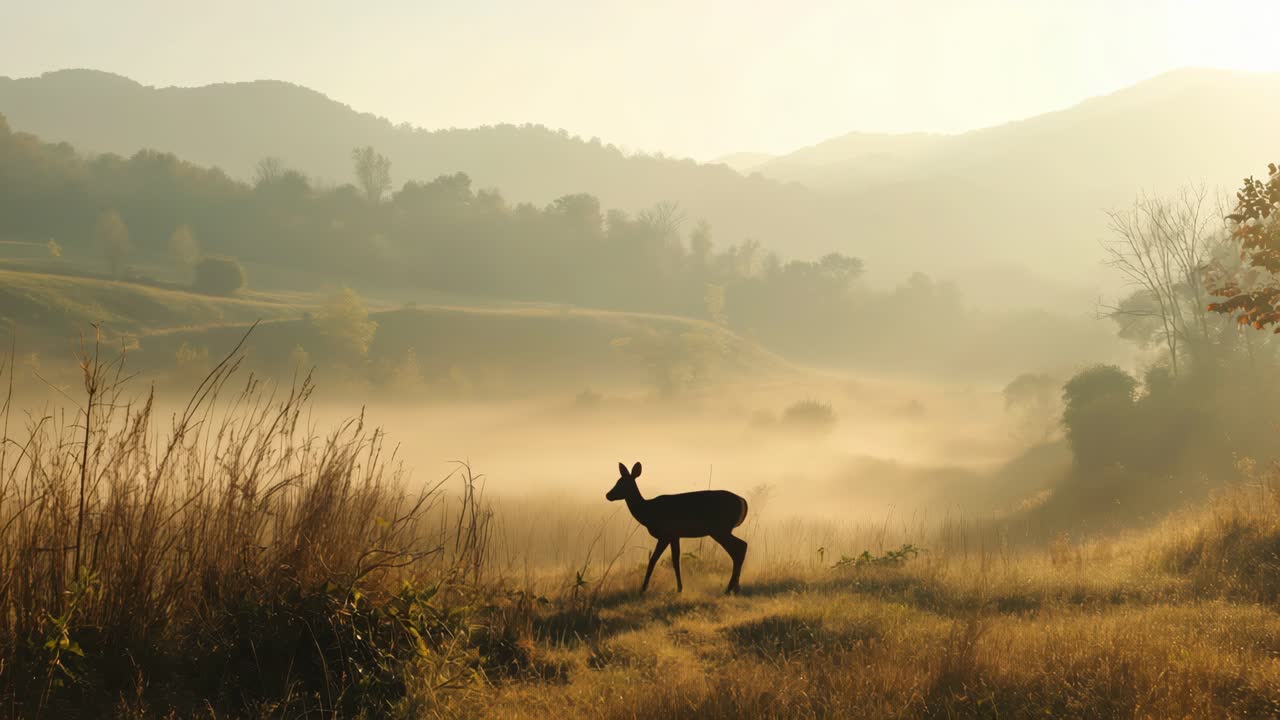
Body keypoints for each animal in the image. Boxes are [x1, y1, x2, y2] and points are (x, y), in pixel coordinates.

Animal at [606, 461, 748, 594]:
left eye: (623, 484)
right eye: (617, 481)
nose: (608, 495)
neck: (648, 512)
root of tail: (743, 501)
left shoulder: (665, 534)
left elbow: (653, 560)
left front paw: (643, 588)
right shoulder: (675, 535)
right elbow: (675, 561)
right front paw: (680, 588)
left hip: (719, 529)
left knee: (740, 547)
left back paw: (729, 588)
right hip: (722, 529)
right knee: (740, 548)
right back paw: (735, 587)